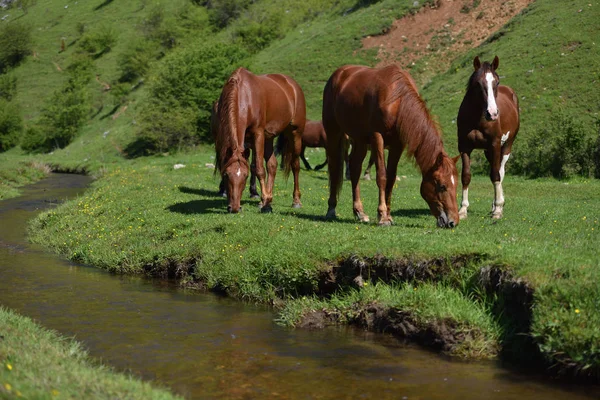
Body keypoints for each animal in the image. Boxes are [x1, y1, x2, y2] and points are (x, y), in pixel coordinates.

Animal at [213, 67, 304, 214]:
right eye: (226, 175)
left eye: (245, 176)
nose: (235, 208)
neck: (244, 96)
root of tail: (292, 84)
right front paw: (265, 201)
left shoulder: (258, 134)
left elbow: (259, 169)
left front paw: (266, 204)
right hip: (268, 138)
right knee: (272, 165)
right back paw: (267, 199)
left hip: (295, 133)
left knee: (295, 165)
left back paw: (295, 201)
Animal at [324, 65, 460, 228]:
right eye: (442, 186)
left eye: (456, 185)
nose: (453, 222)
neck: (397, 100)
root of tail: (339, 74)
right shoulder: (377, 137)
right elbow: (382, 176)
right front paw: (382, 216)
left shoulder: (398, 144)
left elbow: (391, 178)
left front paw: (388, 215)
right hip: (333, 132)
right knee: (334, 167)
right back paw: (331, 209)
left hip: (360, 140)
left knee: (355, 168)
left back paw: (360, 213)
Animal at [460, 55, 520, 219]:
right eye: (477, 83)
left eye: (496, 82)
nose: (492, 113)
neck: (477, 118)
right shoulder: (464, 147)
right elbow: (466, 176)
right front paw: (463, 209)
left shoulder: (495, 144)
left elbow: (495, 176)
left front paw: (498, 209)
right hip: (488, 152)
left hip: (505, 147)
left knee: (500, 172)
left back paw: (497, 205)